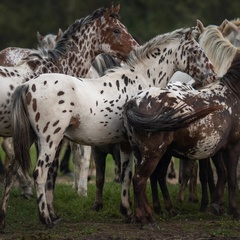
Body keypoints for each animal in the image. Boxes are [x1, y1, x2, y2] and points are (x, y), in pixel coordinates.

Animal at [7, 27, 217, 228]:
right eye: (196, 51)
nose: (212, 75)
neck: (141, 82)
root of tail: (27, 86)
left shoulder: (125, 144)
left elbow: (127, 175)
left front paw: (128, 211)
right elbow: (135, 176)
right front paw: (138, 214)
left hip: (31, 139)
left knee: (15, 170)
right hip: (50, 141)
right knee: (40, 174)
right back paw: (46, 219)